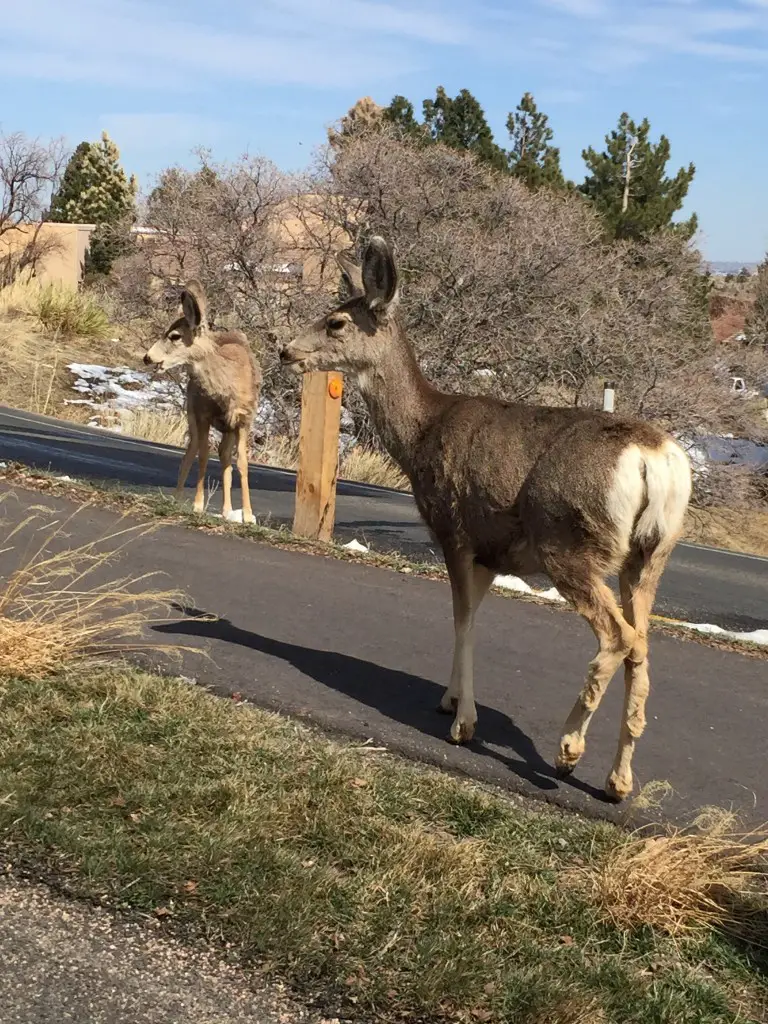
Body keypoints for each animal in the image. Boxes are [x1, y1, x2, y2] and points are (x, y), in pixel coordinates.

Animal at [143, 280, 262, 520]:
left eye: (175, 336)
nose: (147, 357)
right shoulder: (202, 414)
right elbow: (203, 455)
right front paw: (198, 505)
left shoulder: (244, 419)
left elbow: (242, 463)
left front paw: (247, 515)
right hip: (191, 412)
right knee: (192, 450)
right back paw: (177, 497)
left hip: (227, 428)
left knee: (224, 457)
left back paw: (227, 511)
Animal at [280, 237, 696, 798]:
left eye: (336, 322)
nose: (285, 350)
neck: (421, 434)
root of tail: (654, 458)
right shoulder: (492, 552)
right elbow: (472, 614)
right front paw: (449, 699)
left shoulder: (455, 529)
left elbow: (463, 619)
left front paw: (463, 723)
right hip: (650, 555)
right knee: (642, 647)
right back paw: (619, 778)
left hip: (569, 541)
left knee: (618, 637)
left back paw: (568, 749)